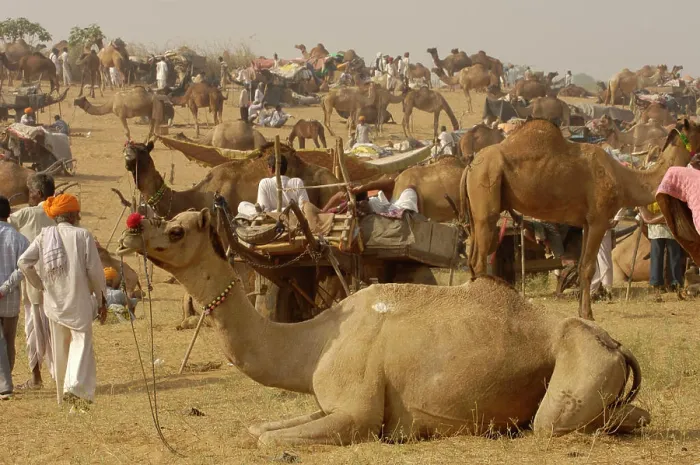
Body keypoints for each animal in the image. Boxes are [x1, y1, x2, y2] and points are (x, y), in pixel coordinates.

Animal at [117, 209, 649, 445]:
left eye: (176, 229)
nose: (130, 232)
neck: (312, 342)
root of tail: (617, 346)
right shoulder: (326, 402)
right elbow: (260, 426)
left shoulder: (357, 412)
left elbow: (270, 438)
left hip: (577, 371)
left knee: (555, 421)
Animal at [463, 118, 698, 320]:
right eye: (699, 128)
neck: (623, 180)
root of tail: (470, 166)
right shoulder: (599, 219)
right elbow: (588, 267)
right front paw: (588, 315)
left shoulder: (586, 222)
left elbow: (582, 264)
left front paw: (581, 311)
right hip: (486, 193)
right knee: (479, 259)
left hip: (477, 212)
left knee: (472, 257)